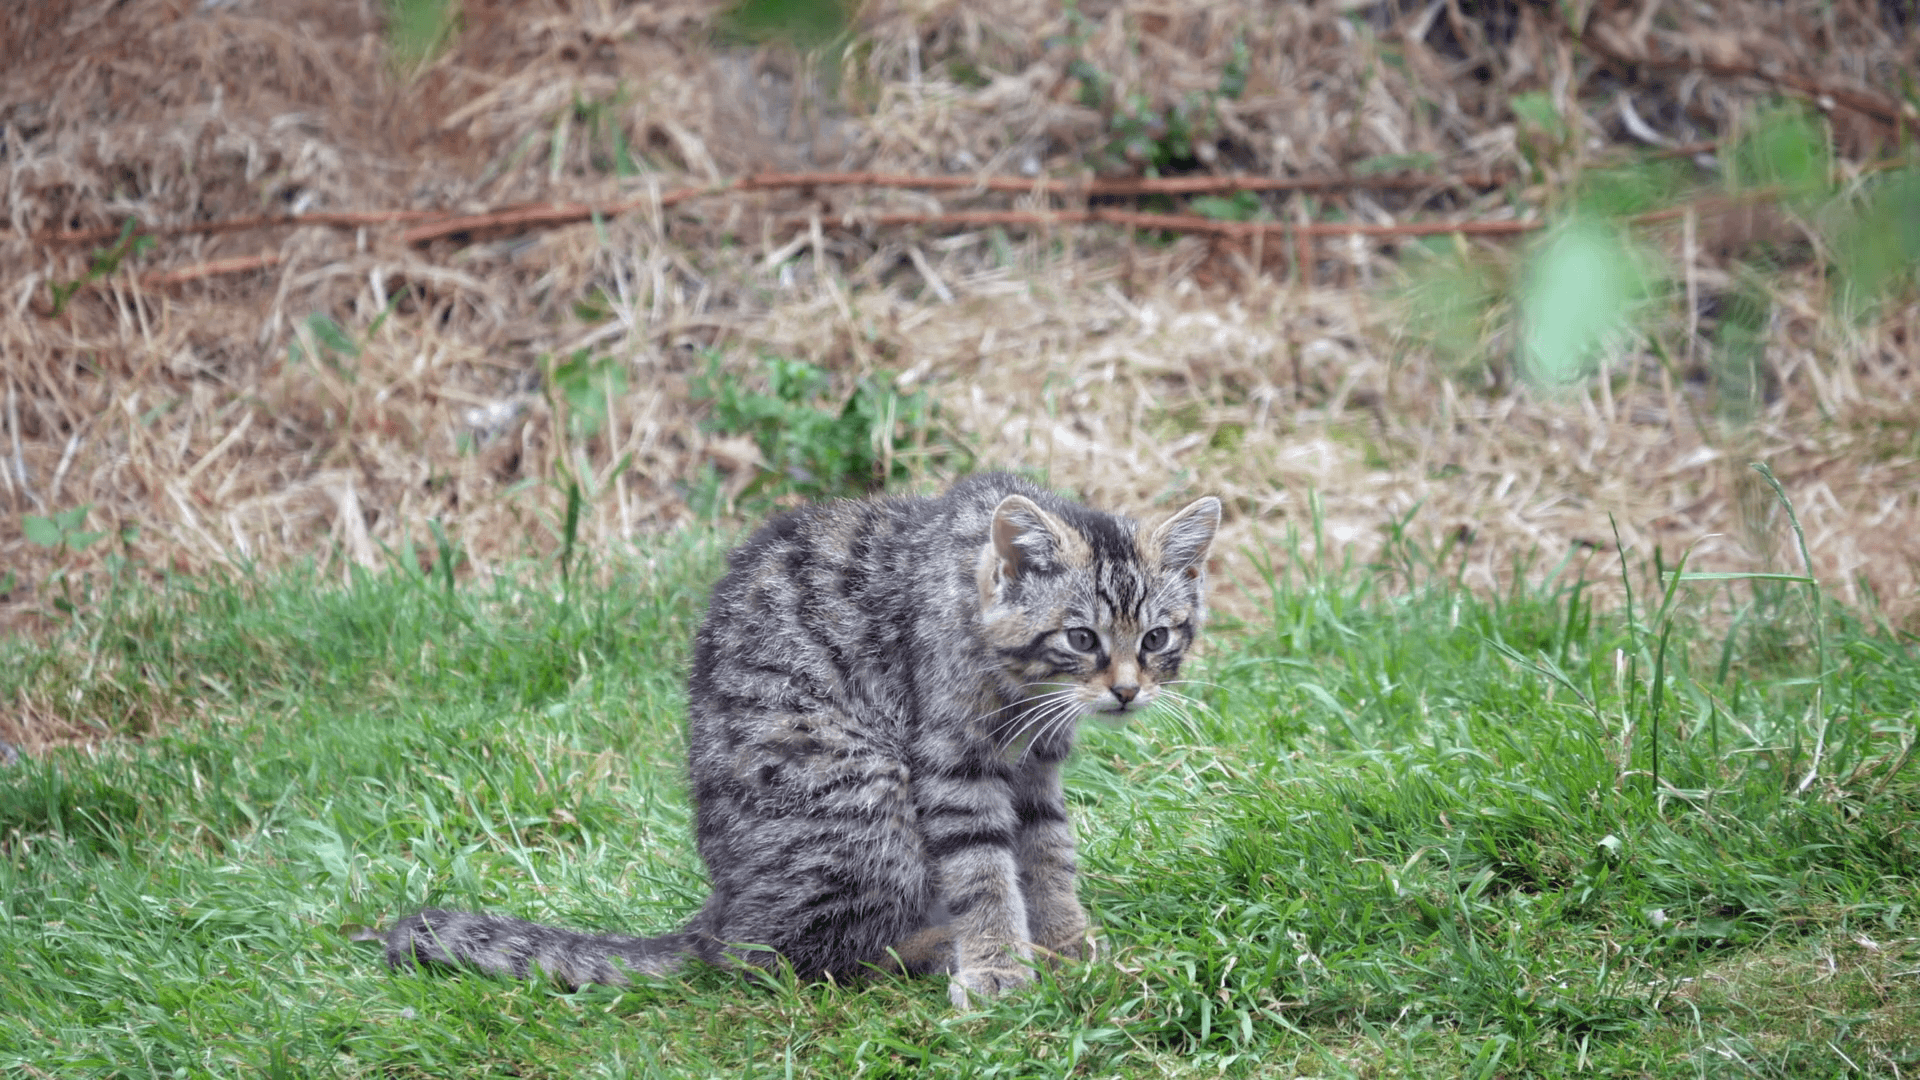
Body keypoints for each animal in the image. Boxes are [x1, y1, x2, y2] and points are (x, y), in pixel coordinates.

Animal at [384, 470, 1221, 999]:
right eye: (1081, 638)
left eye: (1156, 639)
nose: (1126, 691)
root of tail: (722, 908)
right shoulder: (951, 765)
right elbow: (985, 871)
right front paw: (998, 966)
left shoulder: (1037, 771)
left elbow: (1048, 854)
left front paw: (1069, 943)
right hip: (860, 795)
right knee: (780, 959)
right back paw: (932, 948)